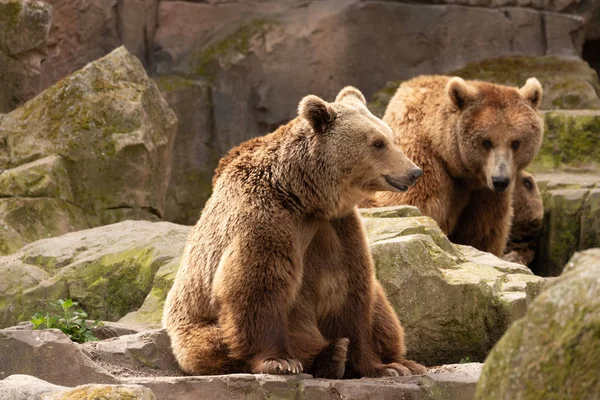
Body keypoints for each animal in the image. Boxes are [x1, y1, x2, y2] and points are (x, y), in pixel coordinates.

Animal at [162, 86, 428, 378]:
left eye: (391, 137)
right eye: (377, 143)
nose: (414, 172)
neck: (303, 196)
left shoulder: (337, 227)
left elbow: (350, 290)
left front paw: (383, 367)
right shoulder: (264, 218)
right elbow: (258, 285)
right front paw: (280, 361)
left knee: (384, 315)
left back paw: (401, 362)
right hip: (192, 328)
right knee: (213, 345)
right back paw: (328, 355)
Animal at [370, 75, 544, 256]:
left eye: (516, 142)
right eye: (486, 141)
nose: (500, 180)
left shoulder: (485, 195)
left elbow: (483, 234)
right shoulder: (424, 167)